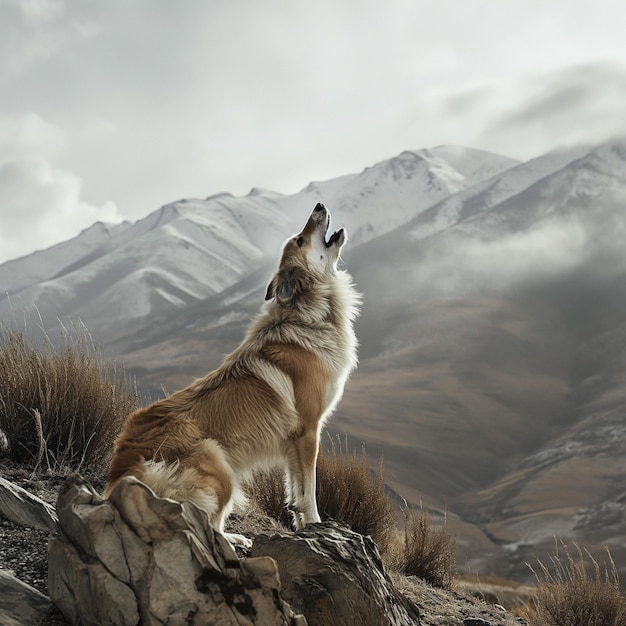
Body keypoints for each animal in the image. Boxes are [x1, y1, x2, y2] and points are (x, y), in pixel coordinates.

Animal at [104, 202, 358, 544]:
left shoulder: (293, 442)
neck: (307, 315)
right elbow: (310, 492)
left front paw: (301, 523)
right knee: (206, 527)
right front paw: (317, 525)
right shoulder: (308, 431)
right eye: (301, 240)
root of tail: (123, 471)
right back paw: (234, 540)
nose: (318, 205)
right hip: (220, 466)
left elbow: (294, 490)